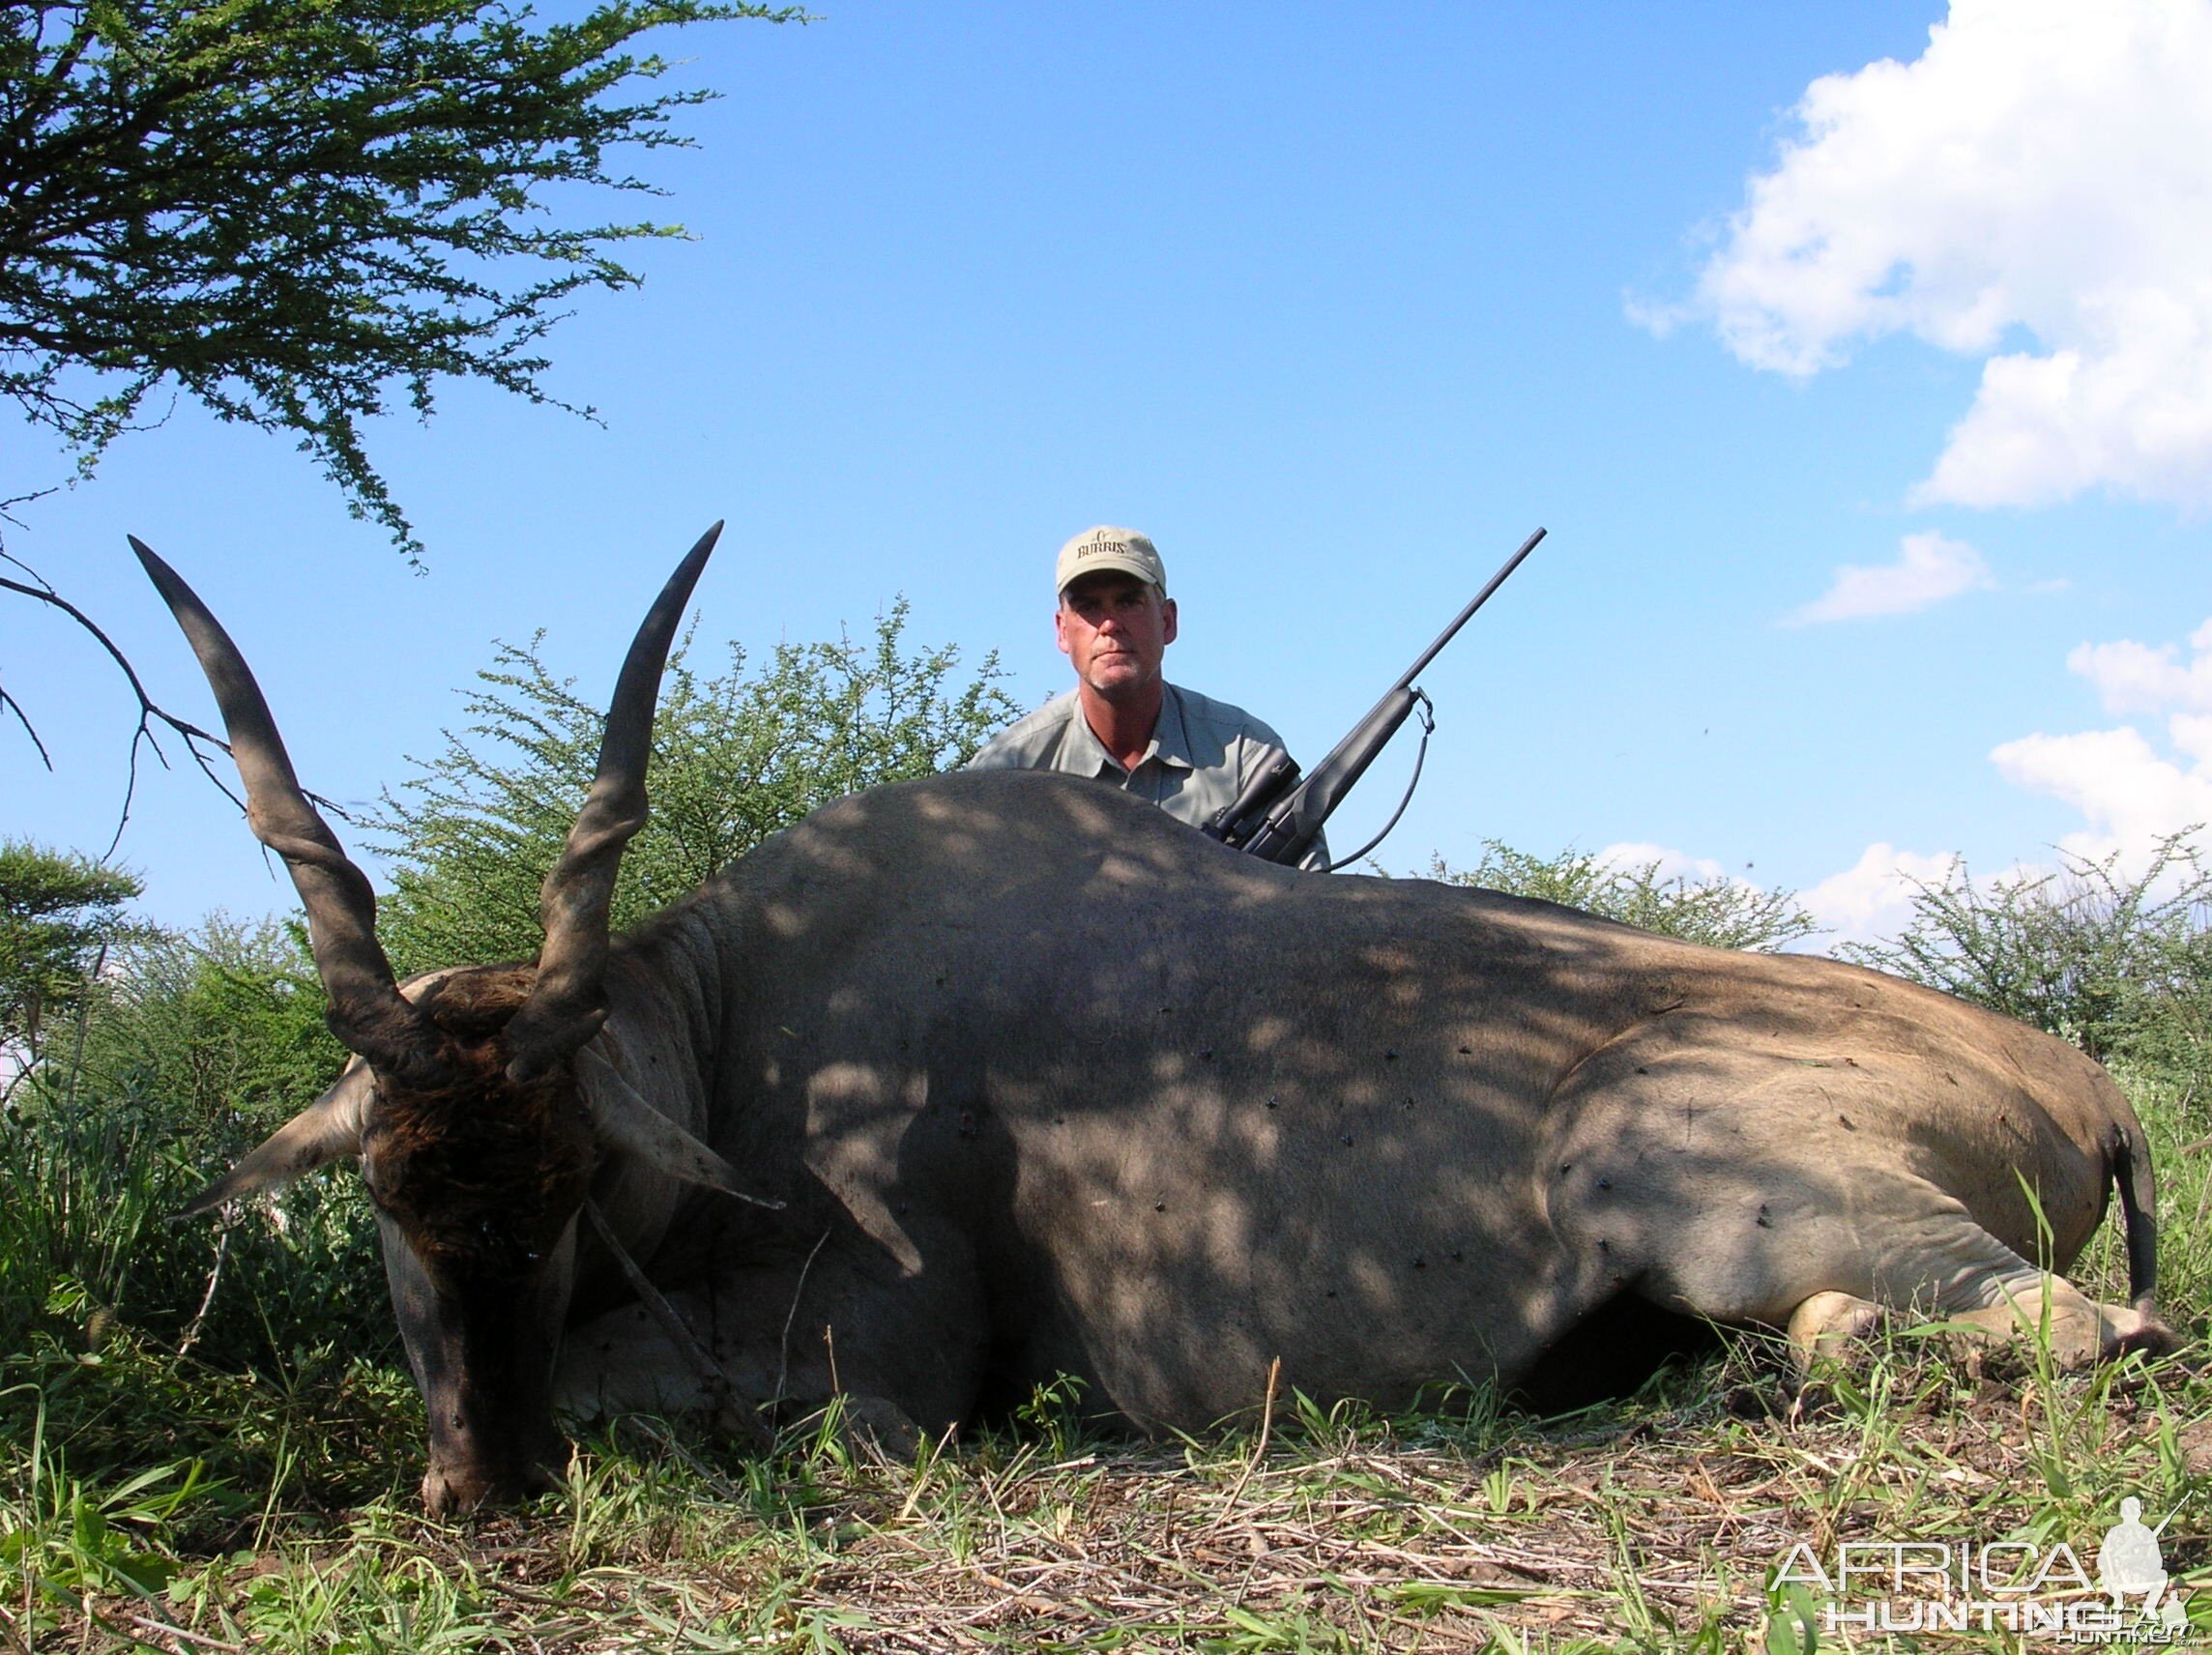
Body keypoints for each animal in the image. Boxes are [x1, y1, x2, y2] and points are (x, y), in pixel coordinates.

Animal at [142, 531, 2176, 1513]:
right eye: (392, 1194)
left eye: (564, 1190)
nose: (476, 1481)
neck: (739, 1019)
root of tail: (2075, 1075)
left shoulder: (873, 1364)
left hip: (1703, 1176)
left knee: (2093, 1331)